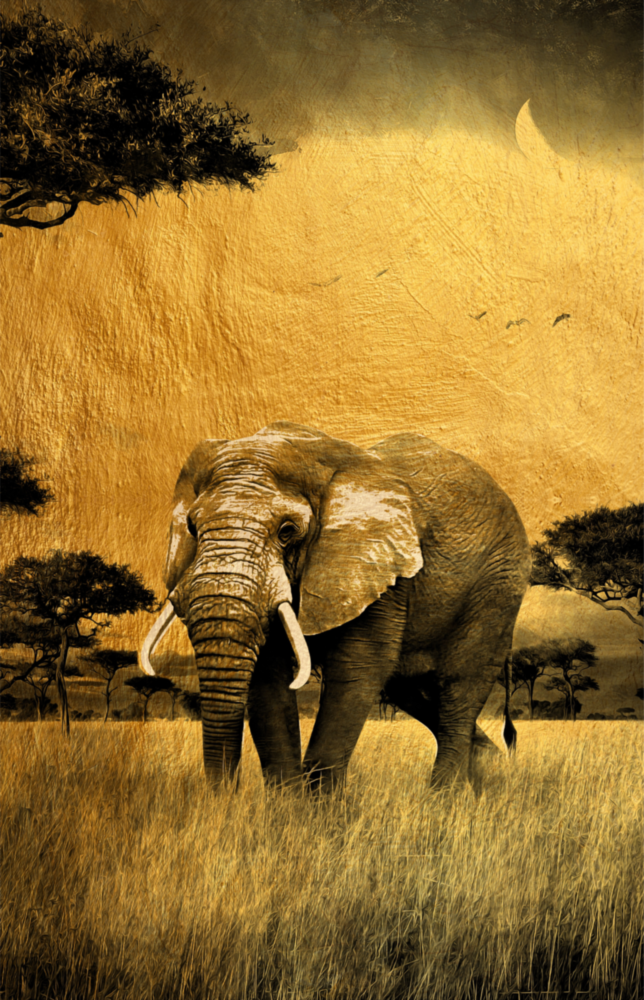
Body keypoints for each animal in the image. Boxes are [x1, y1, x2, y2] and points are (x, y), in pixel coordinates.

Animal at [140, 422, 531, 792]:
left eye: (287, 531)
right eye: (192, 527)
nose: (224, 796)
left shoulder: (378, 572)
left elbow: (356, 670)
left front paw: (319, 814)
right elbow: (268, 681)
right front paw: (287, 812)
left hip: (497, 588)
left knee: (458, 691)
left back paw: (443, 799)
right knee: (410, 691)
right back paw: (489, 772)